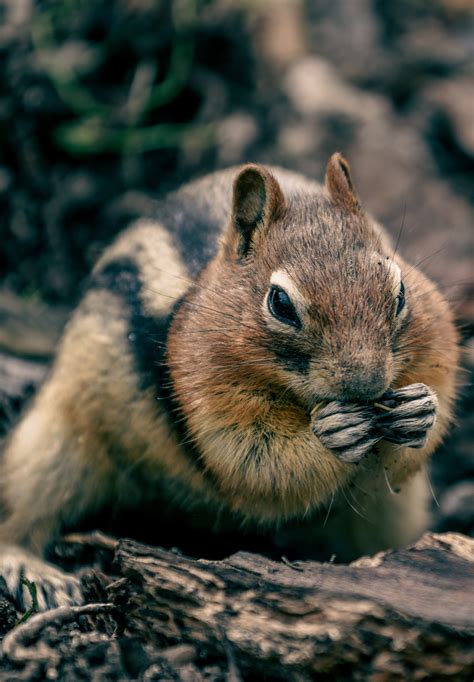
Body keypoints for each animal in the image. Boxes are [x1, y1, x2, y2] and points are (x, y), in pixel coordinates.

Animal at [0, 154, 460, 604]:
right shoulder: (210, 395)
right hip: (54, 442)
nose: (367, 384)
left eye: (400, 292)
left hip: (393, 512)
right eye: (280, 303)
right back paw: (33, 572)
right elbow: (252, 458)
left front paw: (421, 411)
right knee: (22, 506)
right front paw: (332, 434)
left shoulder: (434, 342)